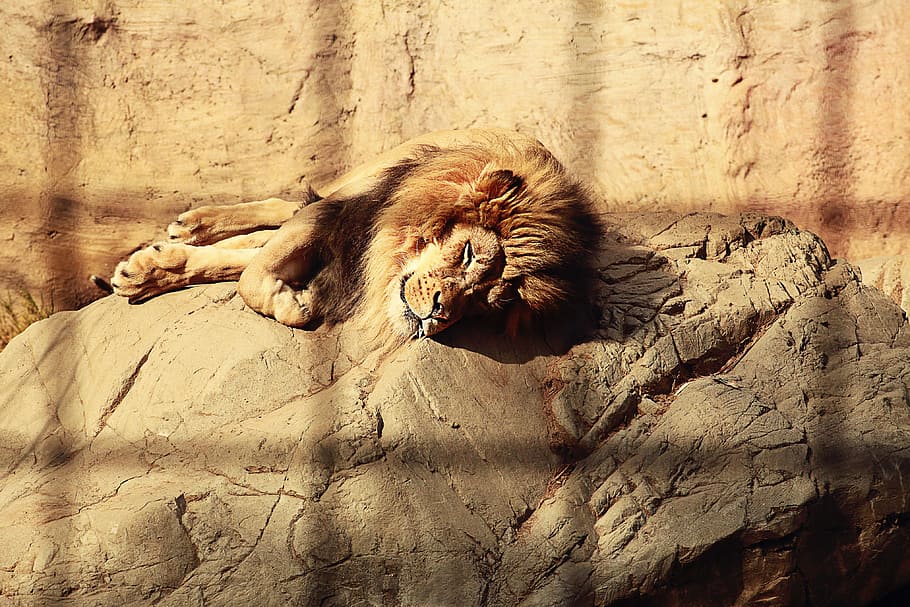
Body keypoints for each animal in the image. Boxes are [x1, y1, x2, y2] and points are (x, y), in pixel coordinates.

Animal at [105, 129, 600, 347]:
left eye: (488, 303)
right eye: (468, 254)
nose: (439, 315)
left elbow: (244, 266)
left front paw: (157, 268)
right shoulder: (336, 216)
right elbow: (251, 279)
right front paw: (298, 305)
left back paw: (151, 262)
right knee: (283, 209)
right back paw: (191, 226)